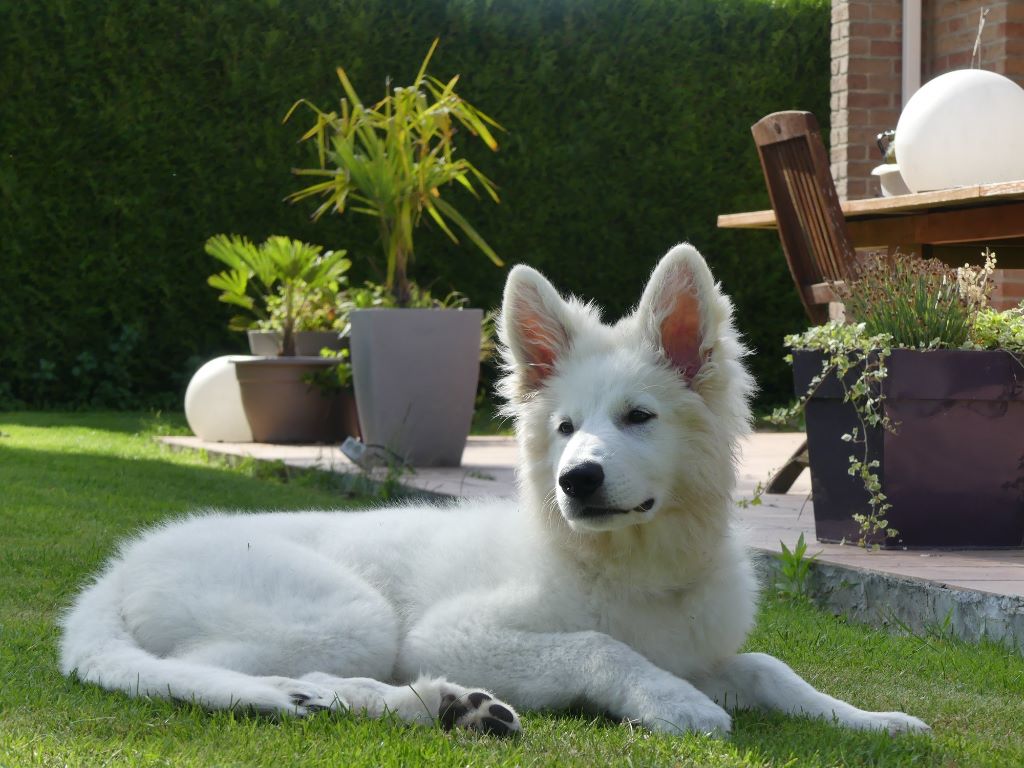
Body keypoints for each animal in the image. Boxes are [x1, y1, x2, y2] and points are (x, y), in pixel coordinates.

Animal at [60, 244, 929, 737]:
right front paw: (672, 706)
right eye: (565, 427)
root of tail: (114, 576)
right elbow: (597, 644)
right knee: (258, 679)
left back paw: (451, 709)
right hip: (347, 614)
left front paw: (871, 720)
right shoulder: (450, 631)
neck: (632, 569)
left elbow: (770, 668)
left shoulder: (701, 650)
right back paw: (427, 705)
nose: (577, 480)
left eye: (638, 417)